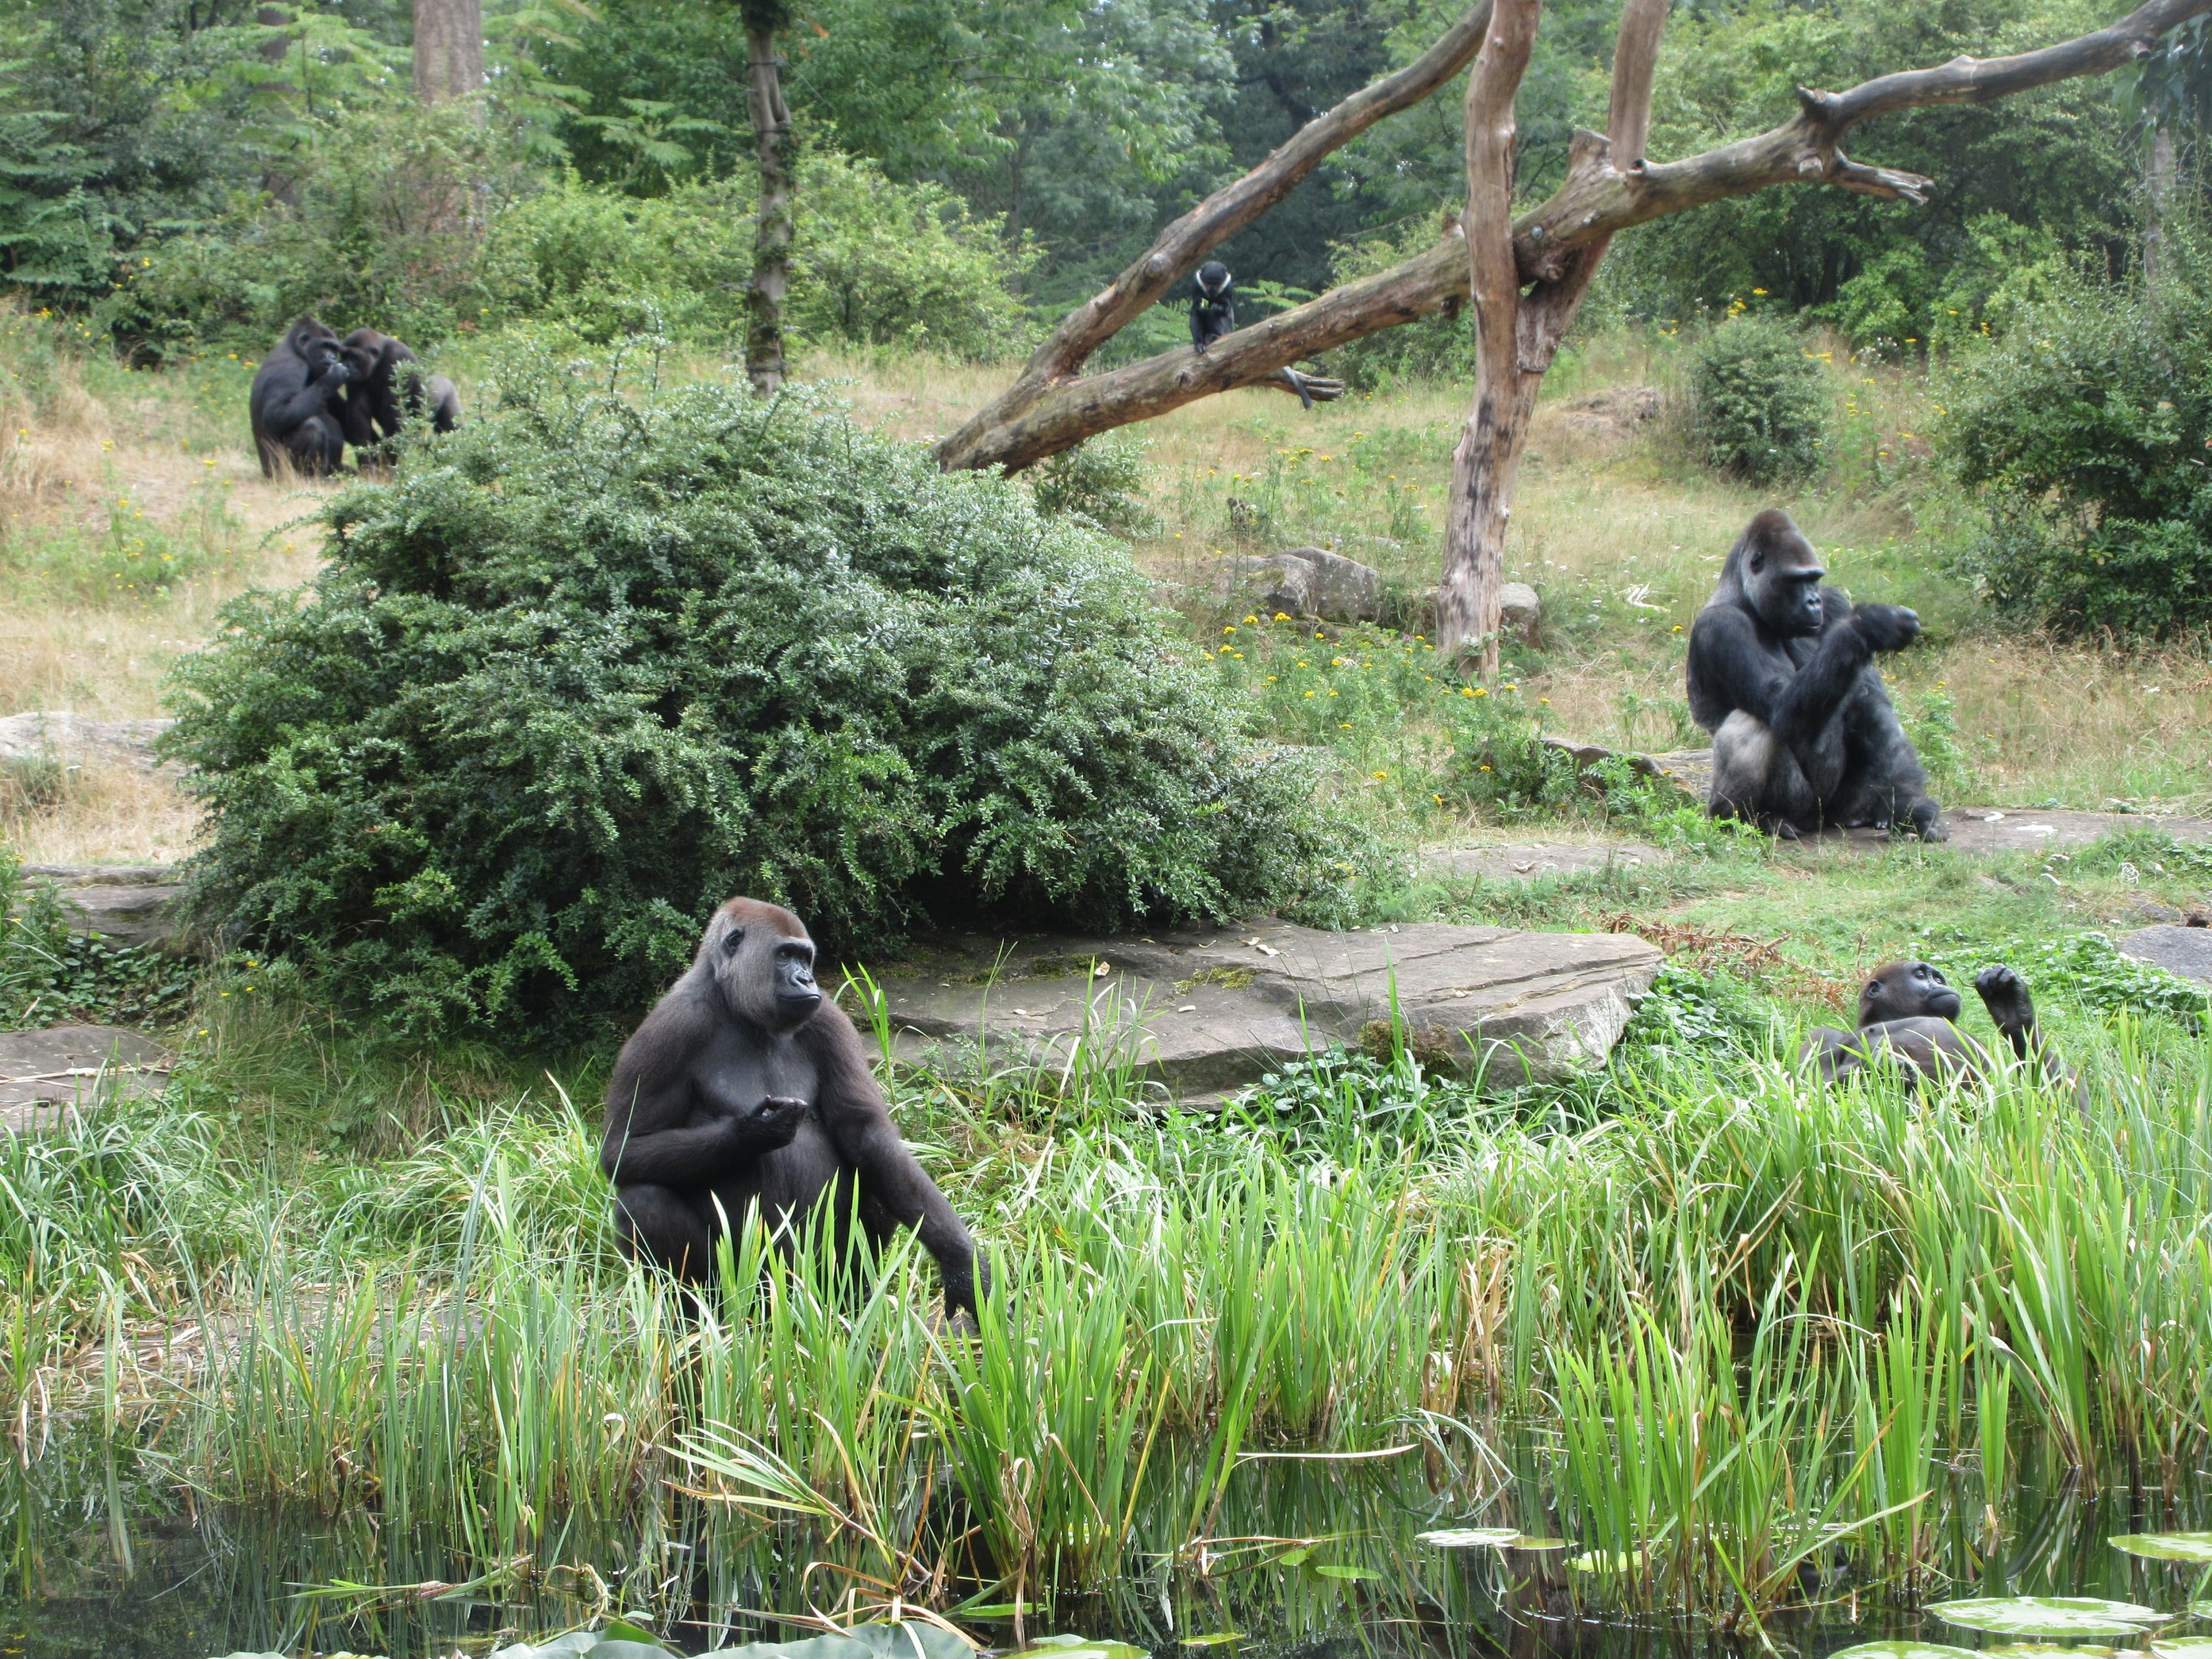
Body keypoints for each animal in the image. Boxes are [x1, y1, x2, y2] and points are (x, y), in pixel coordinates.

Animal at [248, 316, 356, 476]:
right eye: (325, 346)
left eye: (334, 349)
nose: (333, 357)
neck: (296, 350)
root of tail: (266, 474)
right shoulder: (291, 367)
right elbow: (275, 415)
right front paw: (333, 377)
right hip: (279, 473)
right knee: (312, 427)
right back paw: (309, 476)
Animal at [602, 897, 984, 1321]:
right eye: (784, 955)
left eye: (805, 958)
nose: (806, 980)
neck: (736, 1006)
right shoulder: (668, 1030)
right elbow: (623, 1151)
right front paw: (752, 1132)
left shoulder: (828, 1019)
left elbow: (866, 1134)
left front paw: (962, 1265)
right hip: (756, 1290)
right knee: (642, 1204)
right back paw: (699, 1320)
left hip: (816, 1278)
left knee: (873, 1178)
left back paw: (853, 1304)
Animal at [1686, 510, 1946, 840]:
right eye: (1797, 580)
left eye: (1814, 580)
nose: (1813, 602)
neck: (1746, 600)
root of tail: (1818, 823)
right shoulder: (1721, 626)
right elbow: (1781, 709)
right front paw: (1867, 626)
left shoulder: (1834, 601)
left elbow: (1871, 702)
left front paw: (1910, 806)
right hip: (1802, 809)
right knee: (1752, 723)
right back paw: (1753, 819)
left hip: (1837, 807)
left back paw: (1864, 812)